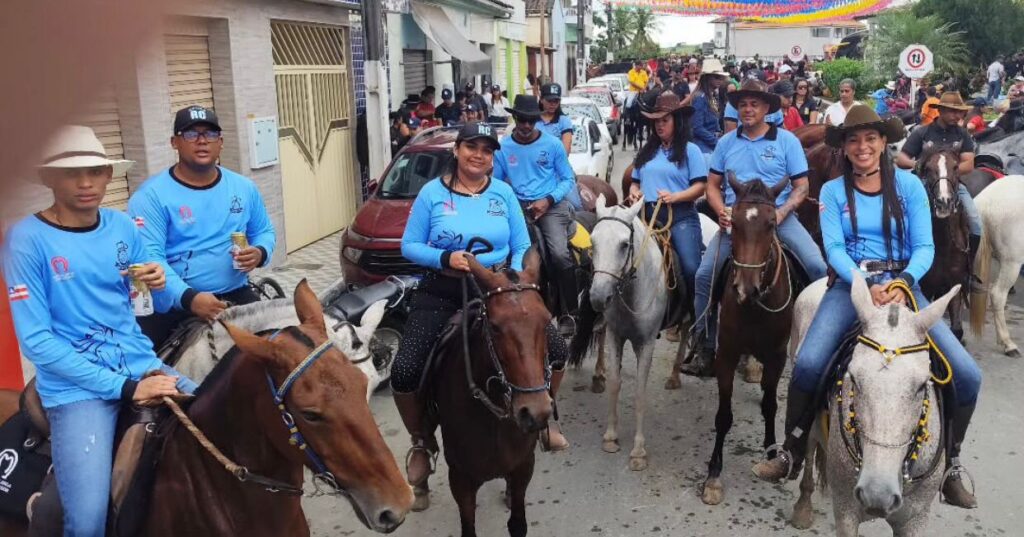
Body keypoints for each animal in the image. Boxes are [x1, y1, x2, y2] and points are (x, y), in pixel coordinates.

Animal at [430, 248, 554, 537]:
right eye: (495, 327)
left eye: (545, 322)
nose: (535, 413)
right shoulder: (460, 478)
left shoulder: (523, 467)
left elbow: (518, 525)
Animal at [570, 195, 686, 471]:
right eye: (593, 242)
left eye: (624, 244)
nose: (598, 297)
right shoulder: (615, 335)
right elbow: (614, 382)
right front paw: (611, 436)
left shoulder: (646, 343)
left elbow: (640, 393)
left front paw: (638, 451)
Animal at [701, 174, 796, 505]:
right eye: (735, 223)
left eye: (771, 223)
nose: (745, 288)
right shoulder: (726, 354)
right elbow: (722, 417)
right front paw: (714, 475)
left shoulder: (777, 356)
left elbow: (770, 405)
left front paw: (771, 453)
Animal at [788, 273, 958, 536]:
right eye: (854, 379)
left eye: (922, 385)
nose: (877, 494)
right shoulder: (846, 513)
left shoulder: (915, 519)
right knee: (808, 443)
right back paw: (802, 506)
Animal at [917, 146, 971, 340]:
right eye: (927, 169)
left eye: (955, 167)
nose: (944, 202)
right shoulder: (925, 287)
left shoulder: (954, 286)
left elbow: (957, 330)